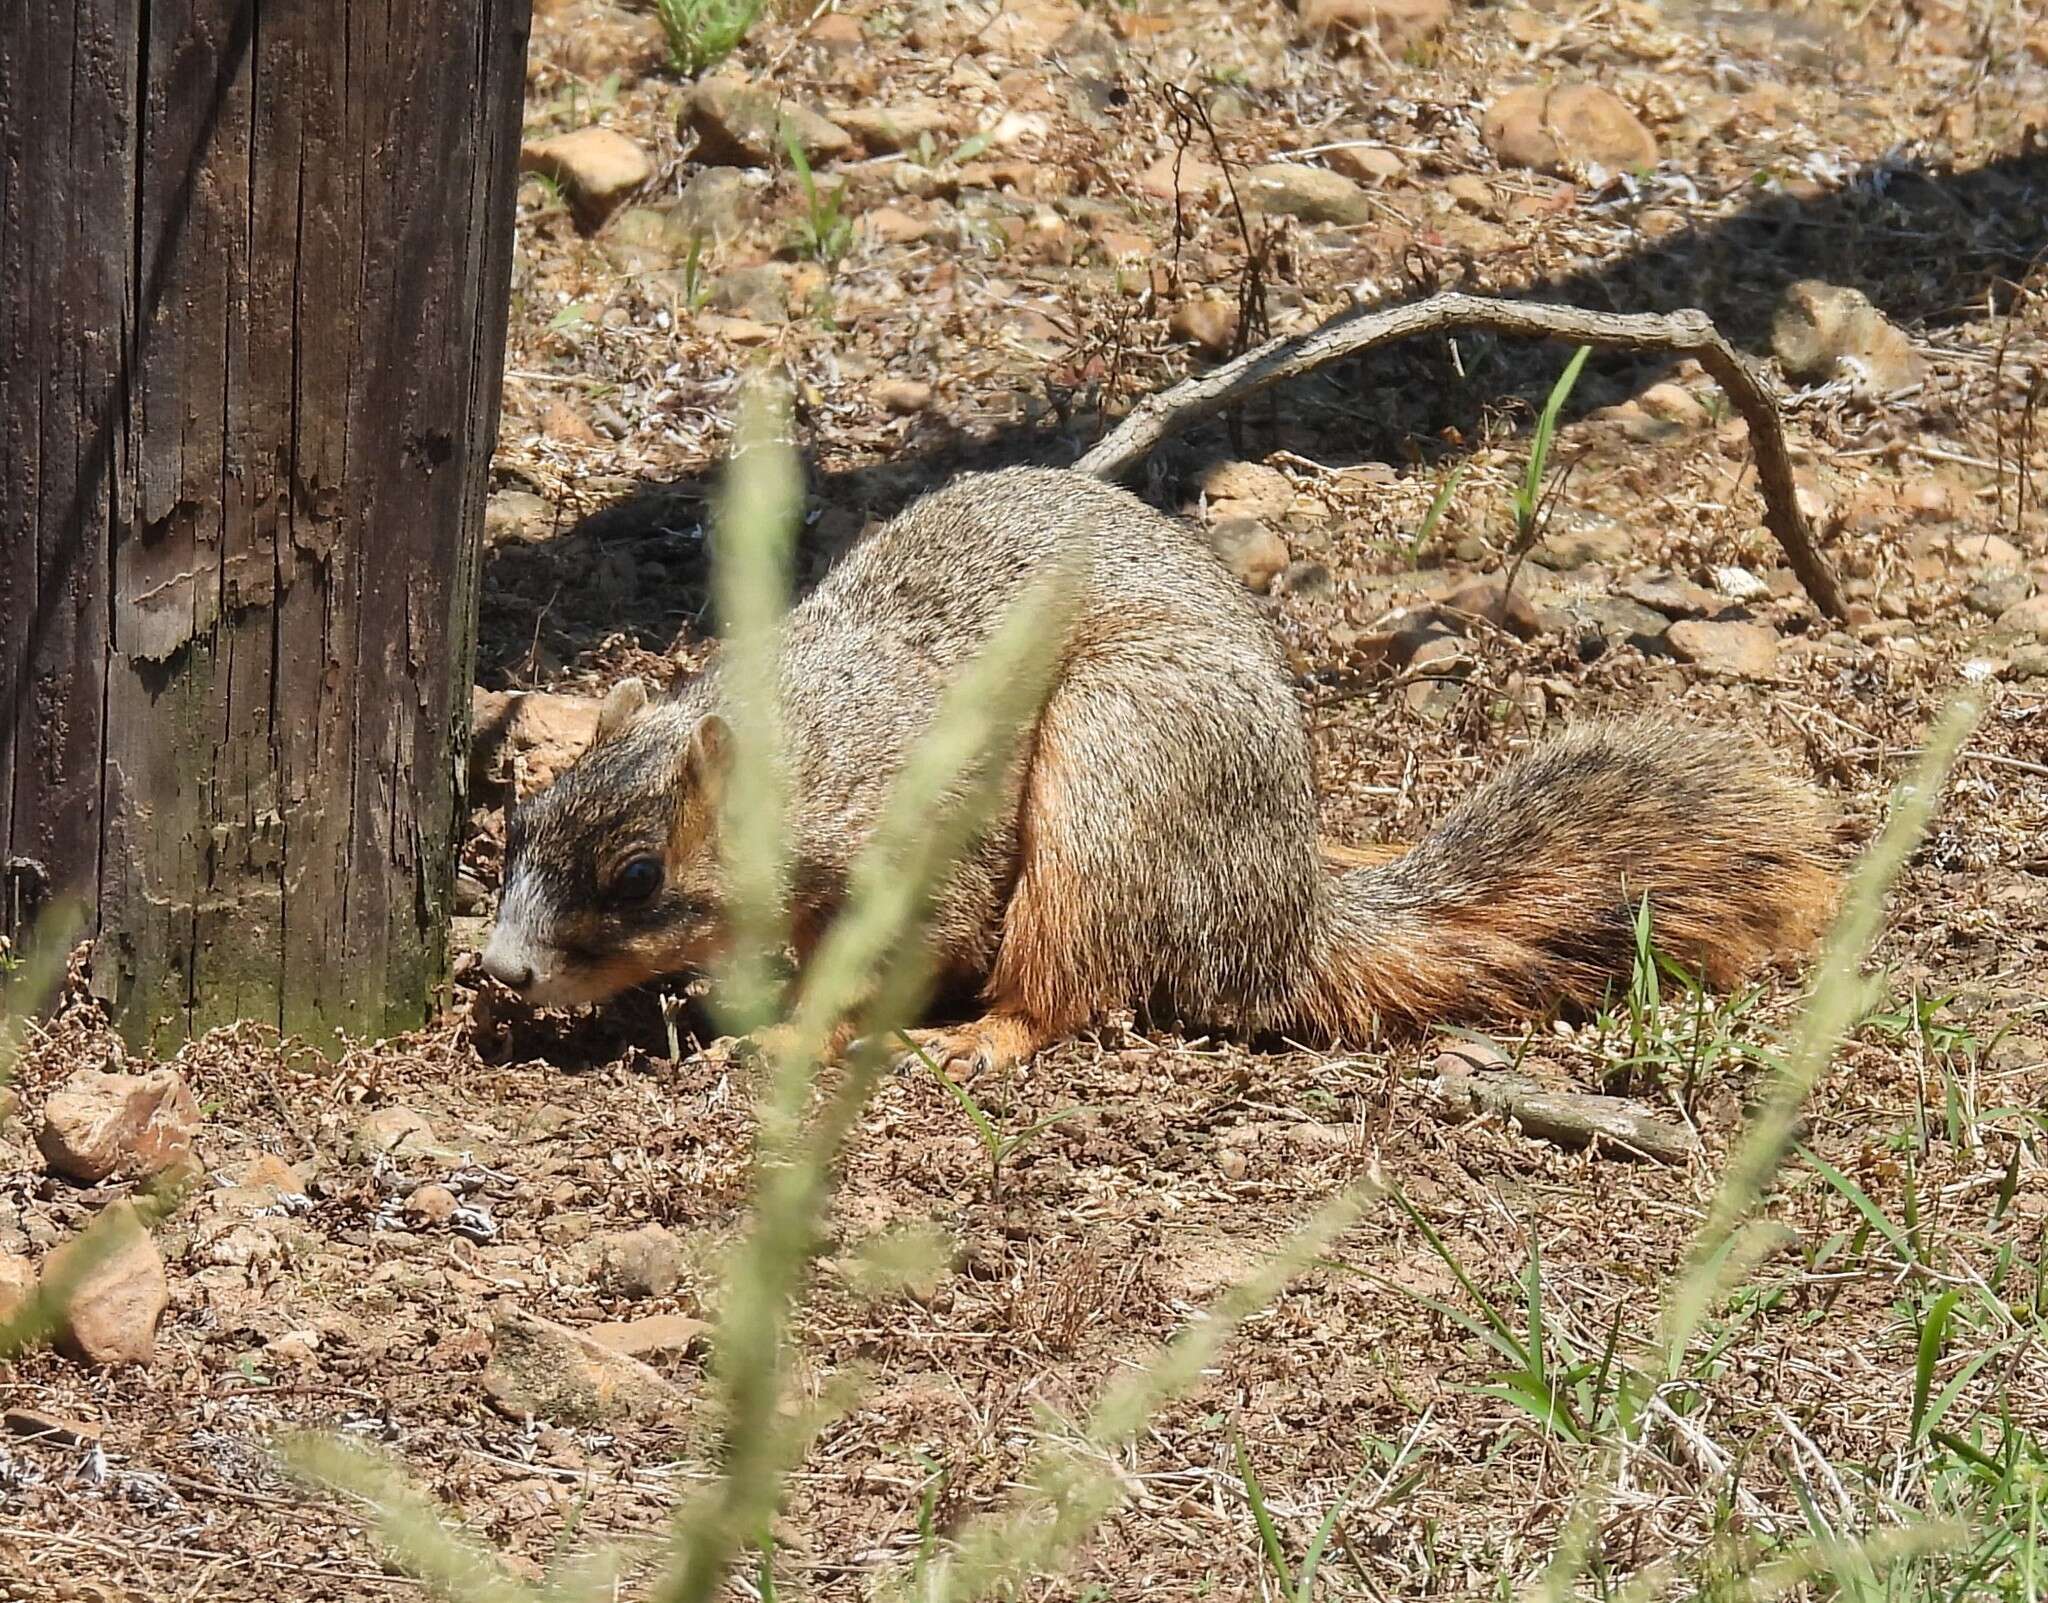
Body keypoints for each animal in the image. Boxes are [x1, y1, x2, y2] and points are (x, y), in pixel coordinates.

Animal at [483, 470, 1843, 1072]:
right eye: (520, 822)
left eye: (638, 873)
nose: (500, 970)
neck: (821, 734)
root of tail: (1278, 923)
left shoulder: (932, 835)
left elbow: (910, 943)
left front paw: (793, 1029)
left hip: (1118, 765)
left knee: (1068, 986)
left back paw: (972, 1041)